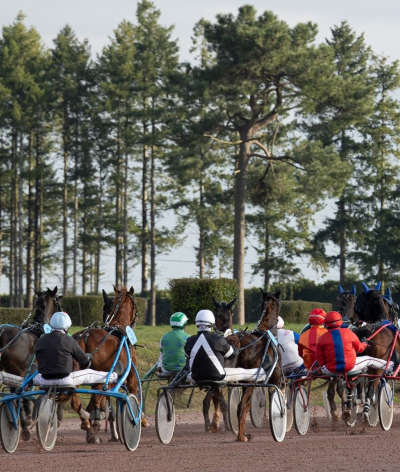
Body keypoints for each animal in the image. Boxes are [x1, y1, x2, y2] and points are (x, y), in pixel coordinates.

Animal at [70, 284, 142, 442]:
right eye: (135, 305)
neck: (119, 329)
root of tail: (84, 336)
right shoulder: (130, 375)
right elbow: (134, 395)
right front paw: (139, 420)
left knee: (76, 400)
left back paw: (87, 420)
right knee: (97, 397)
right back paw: (96, 422)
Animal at [228, 288, 284, 442]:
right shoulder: (275, 377)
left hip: (244, 380)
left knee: (241, 407)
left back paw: (242, 435)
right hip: (250, 382)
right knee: (242, 407)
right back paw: (241, 437)